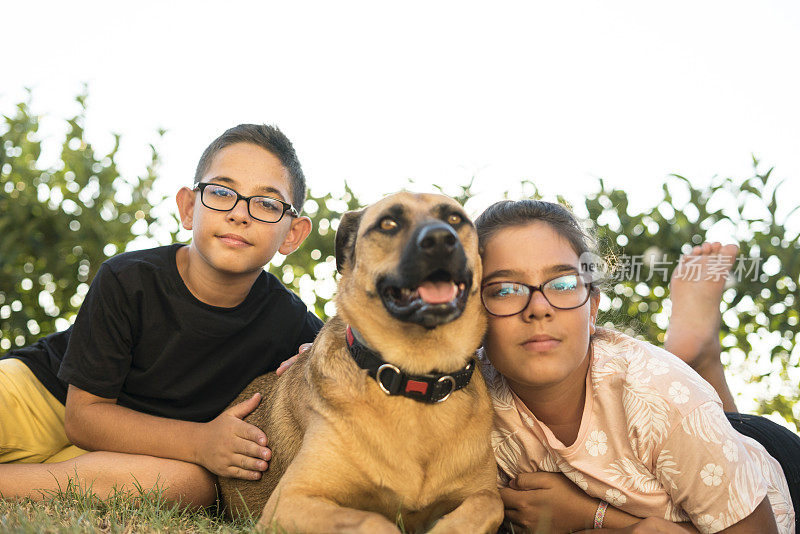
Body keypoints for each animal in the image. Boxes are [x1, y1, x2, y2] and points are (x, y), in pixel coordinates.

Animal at [217, 194, 500, 534]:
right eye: (388, 223)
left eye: (455, 220)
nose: (440, 240)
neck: (415, 379)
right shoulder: (289, 501)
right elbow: (374, 521)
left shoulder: (484, 494)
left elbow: (485, 505)